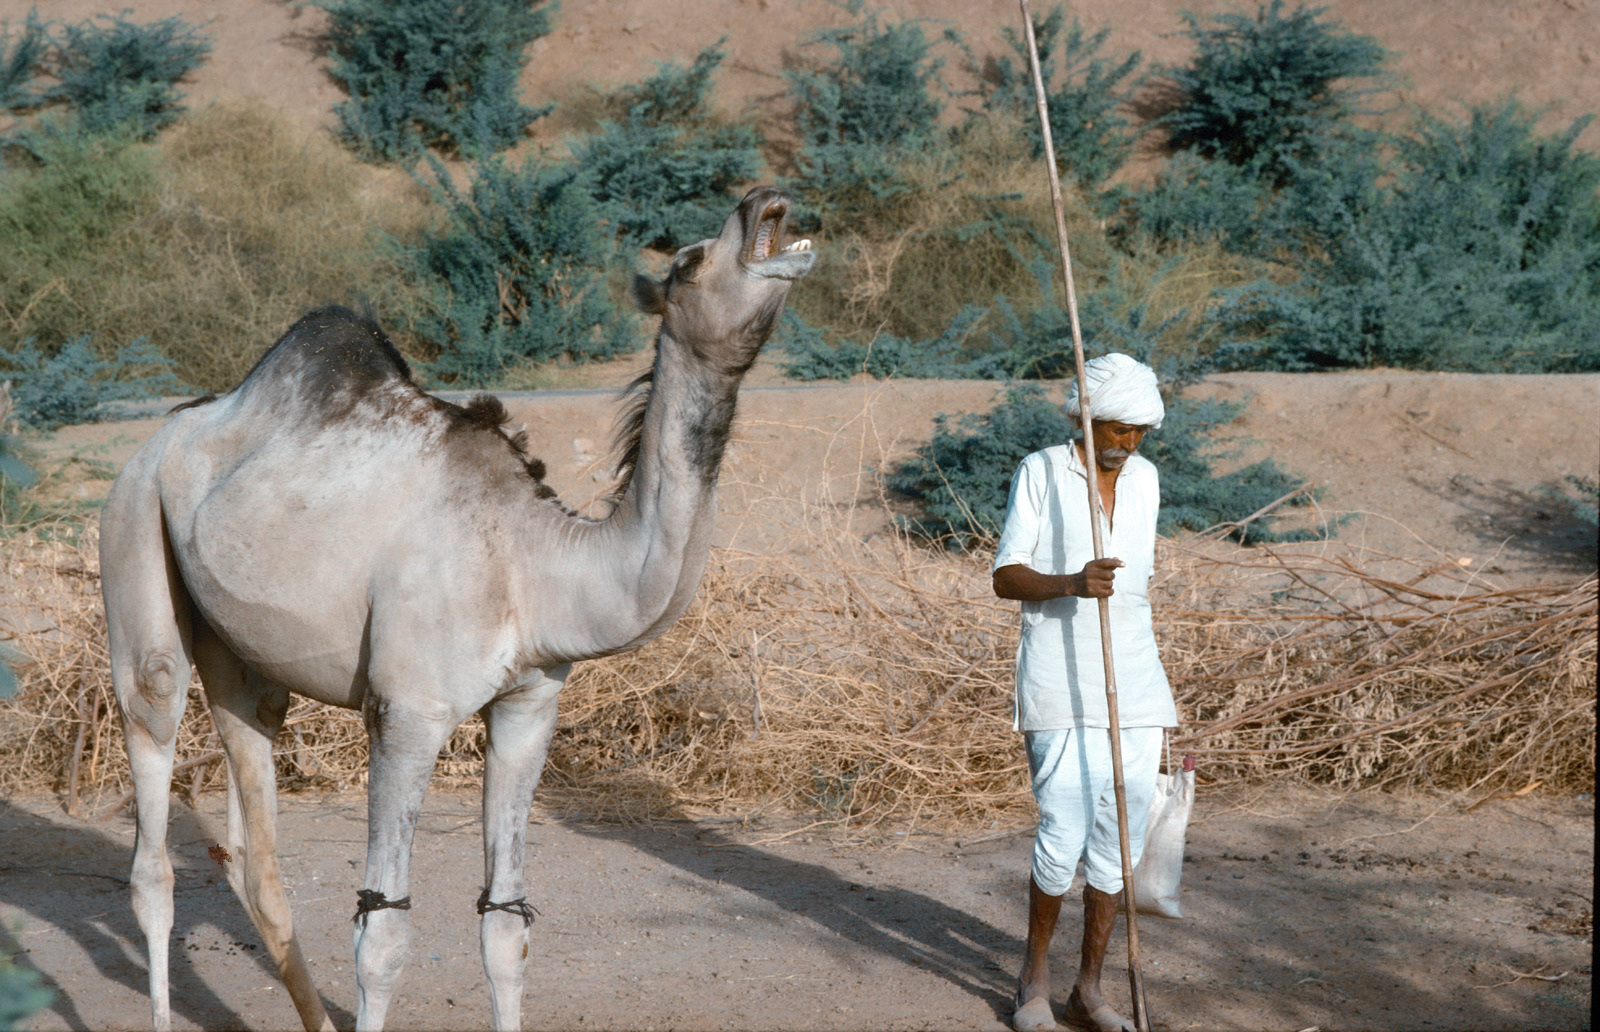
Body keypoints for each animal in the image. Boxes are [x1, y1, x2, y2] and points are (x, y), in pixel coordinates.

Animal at [98, 186, 814, 1032]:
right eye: (692, 260)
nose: (763, 199)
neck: (532, 565)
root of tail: (159, 437)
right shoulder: (406, 711)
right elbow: (382, 936)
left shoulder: (529, 706)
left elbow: (507, 928)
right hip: (133, 532)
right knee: (153, 826)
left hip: (243, 654)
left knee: (254, 844)